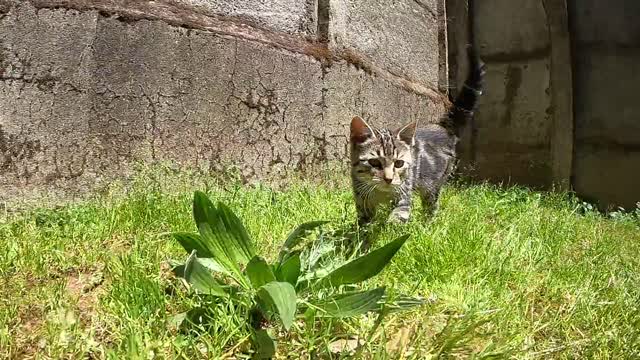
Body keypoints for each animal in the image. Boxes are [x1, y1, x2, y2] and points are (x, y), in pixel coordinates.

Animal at [350, 47, 484, 222]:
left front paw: (392, 226)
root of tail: (441, 125)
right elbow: (364, 223)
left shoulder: (404, 195)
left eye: (399, 163)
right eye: (374, 162)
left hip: (434, 183)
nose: (388, 179)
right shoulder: (362, 201)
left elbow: (398, 215)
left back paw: (428, 223)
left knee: (432, 205)